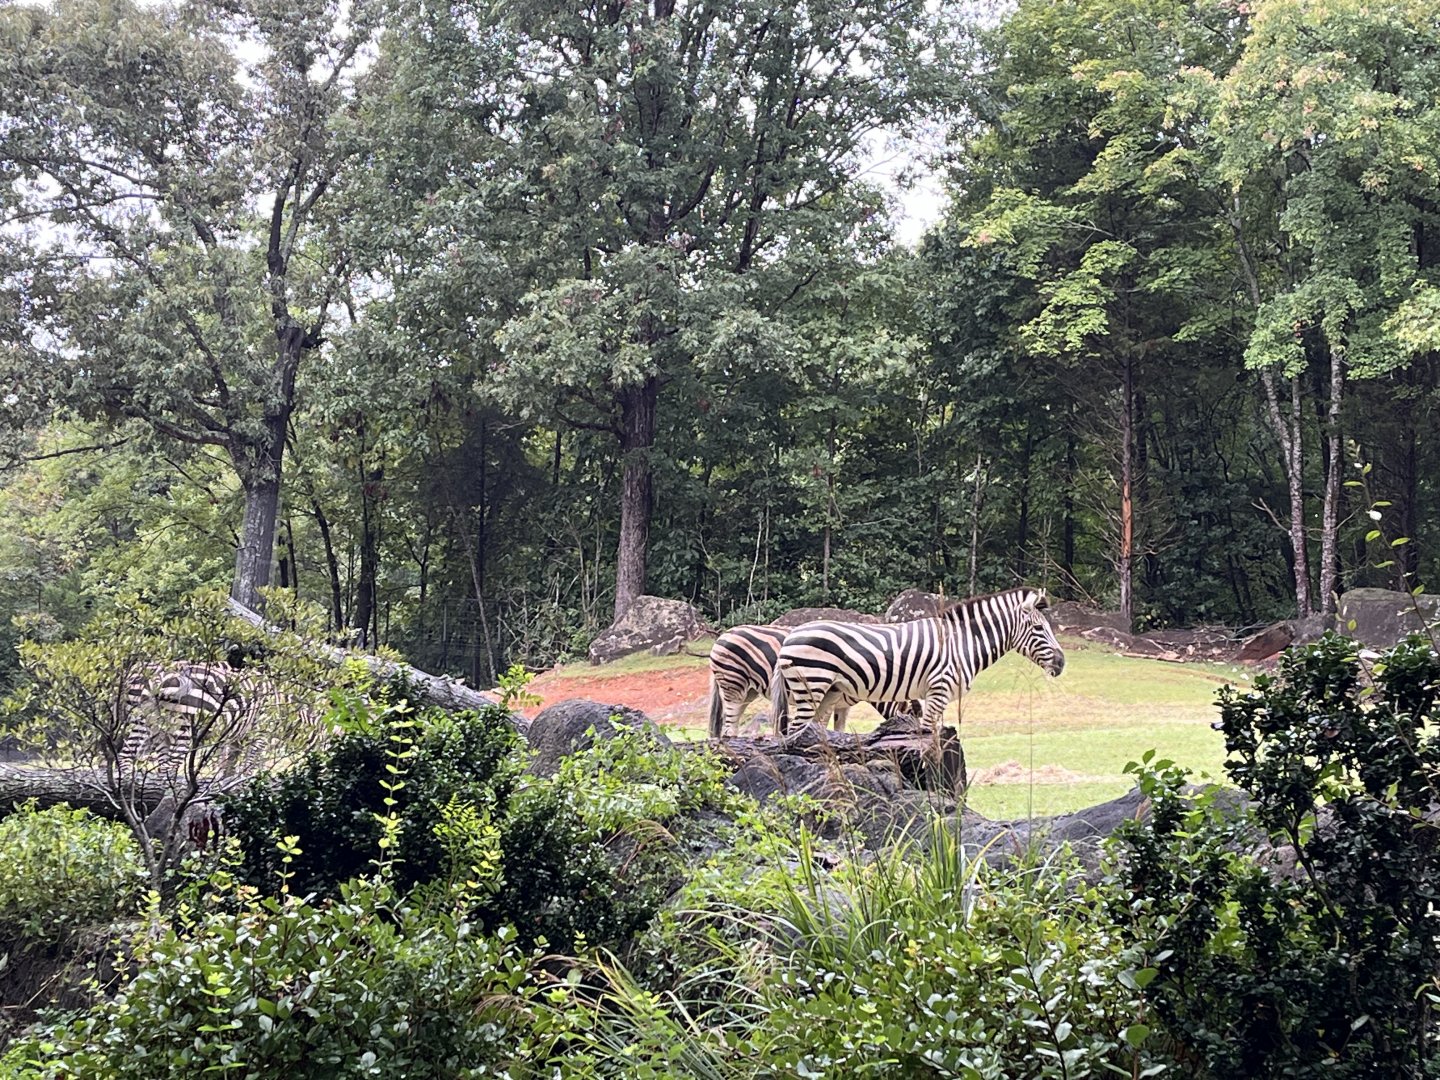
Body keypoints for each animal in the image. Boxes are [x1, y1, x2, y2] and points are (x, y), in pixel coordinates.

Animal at [768, 586, 1064, 736]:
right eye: (1039, 629)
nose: (1062, 663)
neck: (962, 641)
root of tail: (790, 635)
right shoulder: (938, 689)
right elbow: (927, 737)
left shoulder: (939, 695)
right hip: (811, 686)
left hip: (828, 692)